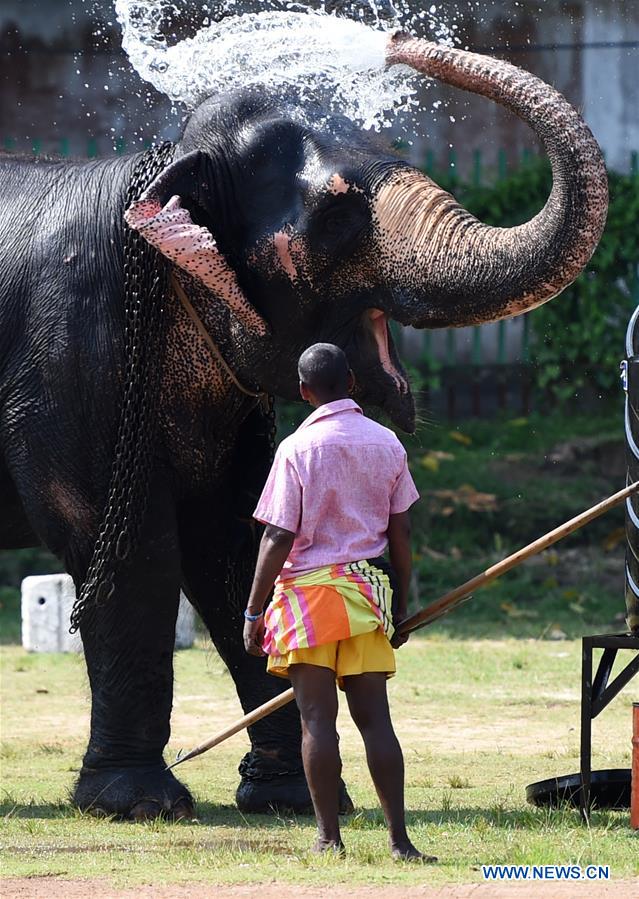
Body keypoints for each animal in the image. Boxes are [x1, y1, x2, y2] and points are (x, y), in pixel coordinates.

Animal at [0, 33, 608, 824]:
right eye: (336, 212)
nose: (397, 43)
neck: (160, 167)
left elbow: (239, 542)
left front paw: (290, 799)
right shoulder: (75, 360)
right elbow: (130, 551)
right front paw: (137, 804)